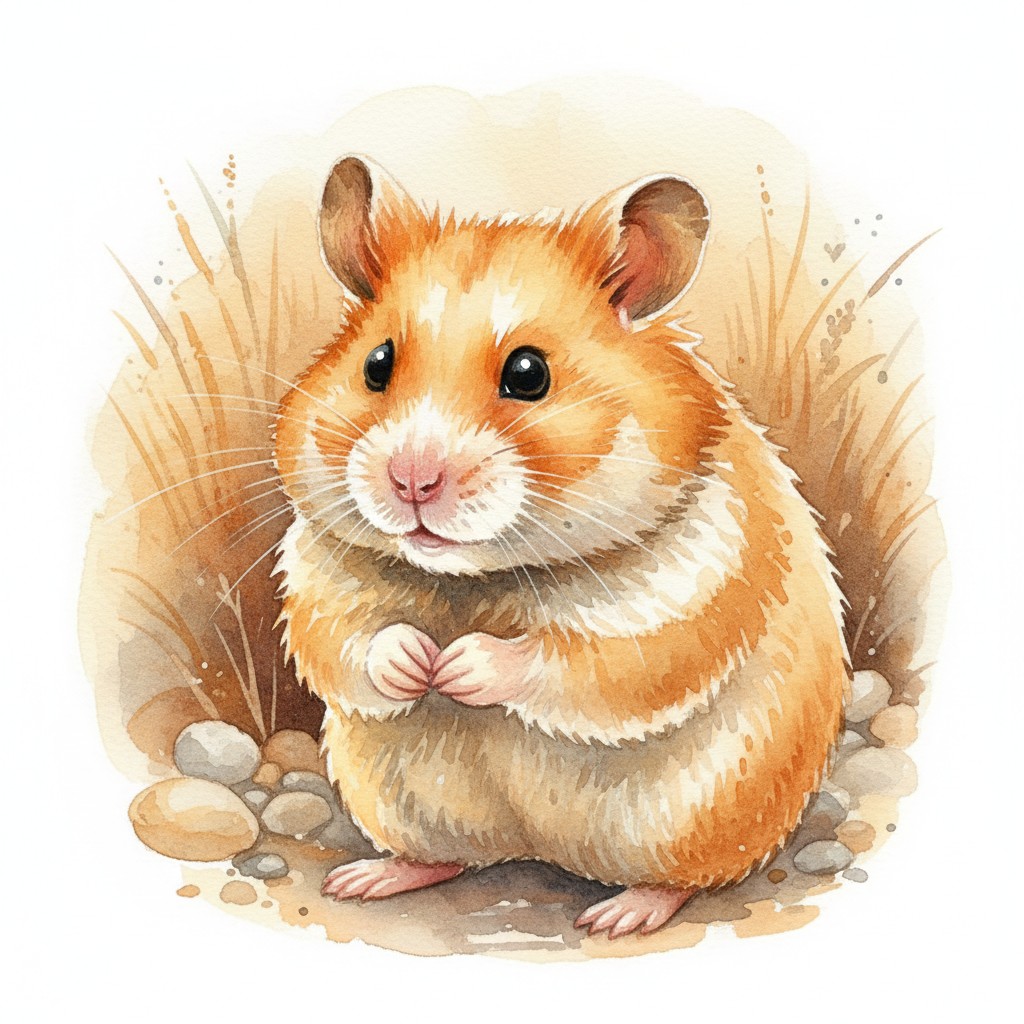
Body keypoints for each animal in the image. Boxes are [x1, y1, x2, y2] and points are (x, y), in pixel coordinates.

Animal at [274, 155, 849, 938]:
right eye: (376, 365)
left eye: (528, 373)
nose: (412, 481)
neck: (480, 579)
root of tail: (539, 849)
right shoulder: (319, 574)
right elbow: (348, 642)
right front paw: (417, 664)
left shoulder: (682, 605)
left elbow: (576, 663)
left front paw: (457, 666)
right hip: (395, 798)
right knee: (444, 856)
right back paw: (364, 879)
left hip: (700, 821)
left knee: (684, 880)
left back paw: (619, 916)